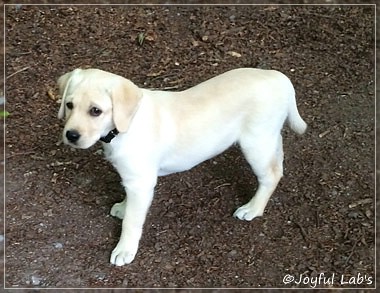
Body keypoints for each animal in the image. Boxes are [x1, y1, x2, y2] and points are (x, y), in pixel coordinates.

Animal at [57, 67, 306, 266]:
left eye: (95, 111)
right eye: (69, 105)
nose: (71, 135)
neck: (125, 124)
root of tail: (278, 77)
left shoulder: (141, 182)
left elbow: (132, 221)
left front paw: (124, 250)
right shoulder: (135, 179)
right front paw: (124, 207)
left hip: (256, 143)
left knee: (270, 175)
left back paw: (252, 209)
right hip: (270, 138)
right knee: (278, 165)